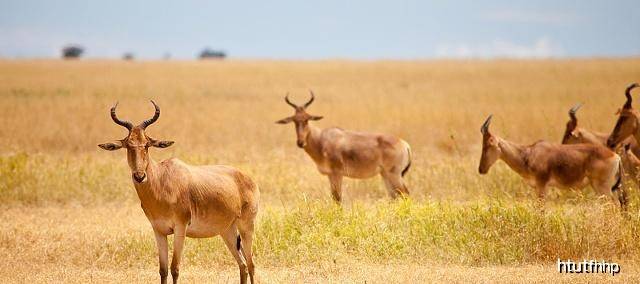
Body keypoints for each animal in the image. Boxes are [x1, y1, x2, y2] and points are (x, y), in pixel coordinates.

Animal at [97, 101, 258, 282]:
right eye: (128, 145)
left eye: (147, 144)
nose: (139, 176)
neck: (162, 180)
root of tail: (247, 178)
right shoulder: (159, 231)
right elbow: (163, 269)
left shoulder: (180, 228)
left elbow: (175, 268)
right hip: (227, 231)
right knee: (242, 265)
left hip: (246, 226)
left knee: (251, 264)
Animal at [278, 90, 412, 202]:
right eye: (294, 120)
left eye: (307, 119)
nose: (300, 142)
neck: (322, 139)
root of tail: (404, 144)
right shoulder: (330, 175)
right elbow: (334, 198)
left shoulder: (337, 173)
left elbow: (337, 198)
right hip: (385, 174)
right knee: (394, 196)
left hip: (394, 174)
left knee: (406, 194)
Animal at [480, 113, 624, 209]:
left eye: (488, 144)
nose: (481, 169)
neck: (529, 153)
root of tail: (615, 156)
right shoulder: (537, 188)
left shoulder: (542, 186)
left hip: (603, 187)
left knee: (614, 205)